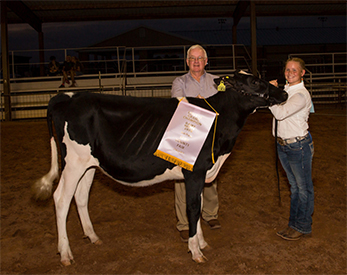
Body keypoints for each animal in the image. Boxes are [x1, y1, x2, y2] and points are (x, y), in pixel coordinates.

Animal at [33, 70, 288, 266]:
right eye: (254, 82)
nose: (283, 91)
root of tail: (67, 97)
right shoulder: (195, 172)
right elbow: (193, 208)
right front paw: (196, 251)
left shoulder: (201, 173)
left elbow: (199, 206)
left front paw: (202, 242)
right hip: (73, 162)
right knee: (61, 199)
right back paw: (65, 254)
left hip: (89, 165)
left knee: (81, 197)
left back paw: (93, 236)